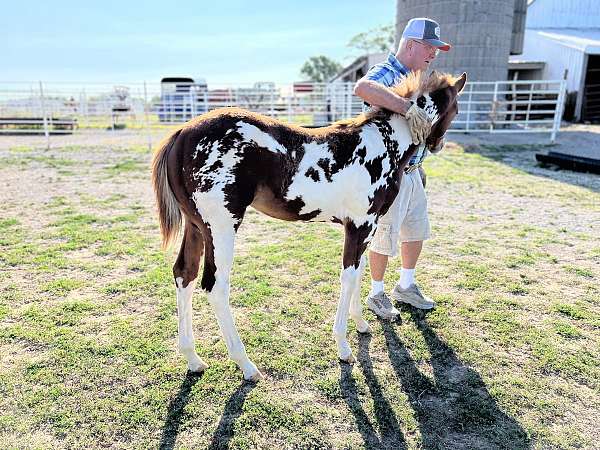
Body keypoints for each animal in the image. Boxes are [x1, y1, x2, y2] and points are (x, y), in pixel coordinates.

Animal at [151, 72, 468, 382]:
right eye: (456, 108)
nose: (438, 144)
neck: (384, 143)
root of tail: (182, 134)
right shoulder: (360, 225)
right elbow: (348, 277)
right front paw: (344, 347)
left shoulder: (366, 226)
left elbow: (360, 271)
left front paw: (361, 324)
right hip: (221, 229)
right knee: (215, 287)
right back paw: (246, 365)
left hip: (196, 227)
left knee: (184, 275)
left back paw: (193, 359)